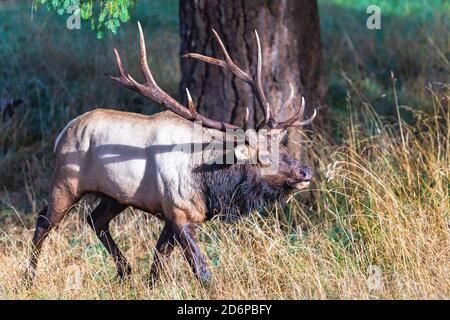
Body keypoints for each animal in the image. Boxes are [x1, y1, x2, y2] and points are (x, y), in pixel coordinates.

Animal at [24, 22, 314, 284]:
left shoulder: (171, 214)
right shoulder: (180, 211)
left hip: (117, 195)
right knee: (44, 221)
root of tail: (61, 134)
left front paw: (150, 284)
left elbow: (159, 260)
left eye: (283, 146)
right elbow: (201, 271)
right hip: (66, 182)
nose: (305, 171)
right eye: (262, 156)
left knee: (95, 219)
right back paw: (29, 278)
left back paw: (125, 272)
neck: (210, 184)